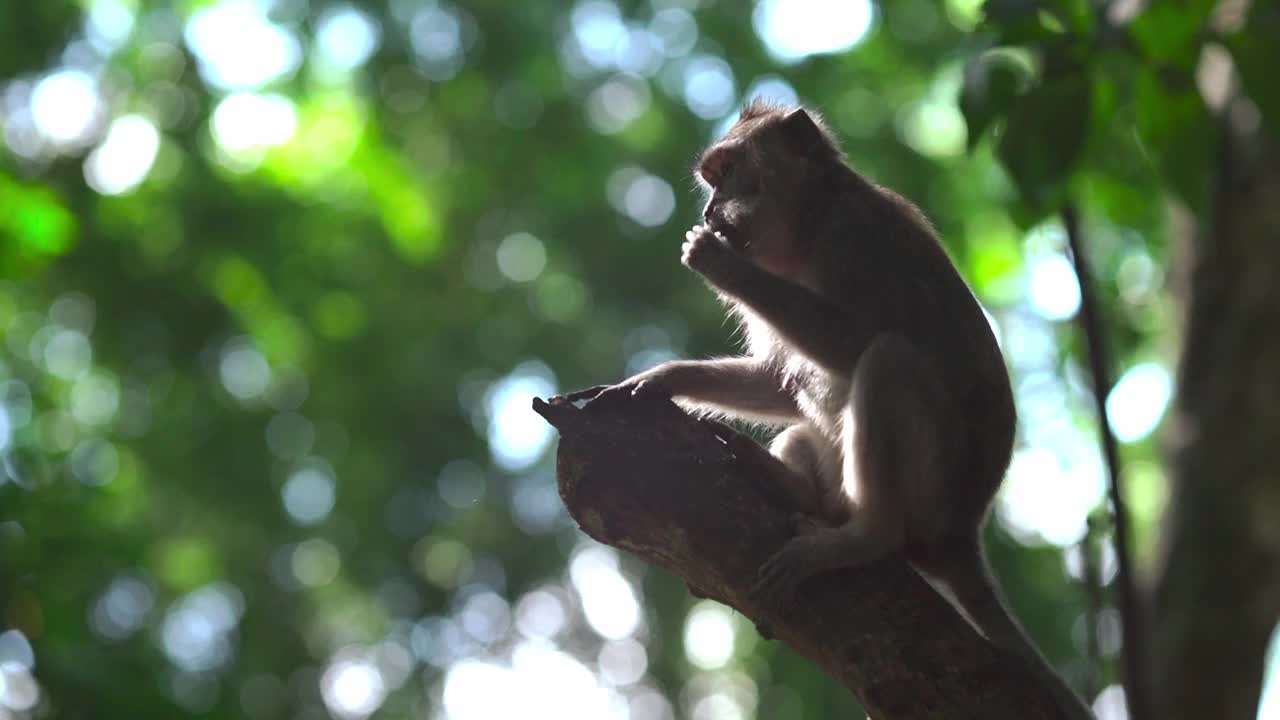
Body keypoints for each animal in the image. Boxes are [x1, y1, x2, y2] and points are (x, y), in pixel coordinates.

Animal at [558, 101, 1090, 717]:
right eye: (712, 181)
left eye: (731, 172)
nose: (712, 211)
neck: (805, 226)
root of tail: (961, 532)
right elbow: (781, 383)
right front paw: (658, 380)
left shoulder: (852, 237)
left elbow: (856, 343)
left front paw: (719, 265)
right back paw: (794, 488)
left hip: (931, 494)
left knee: (887, 361)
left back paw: (865, 537)